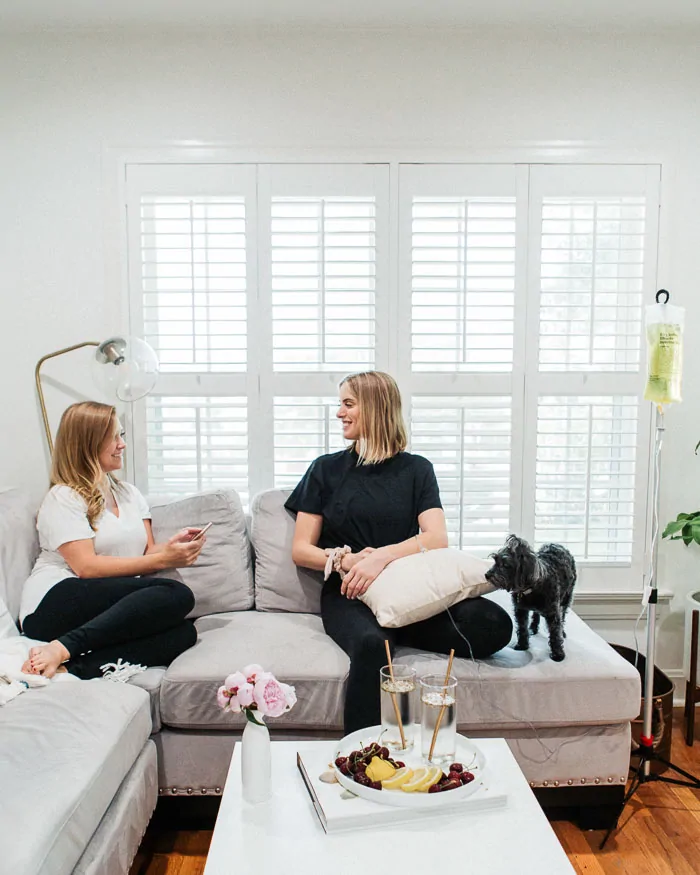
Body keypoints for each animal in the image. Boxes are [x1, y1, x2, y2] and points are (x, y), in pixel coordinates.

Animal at [484, 532, 576, 664]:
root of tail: (557, 545)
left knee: (563, 615)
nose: (487, 575)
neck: (531, 589)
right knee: (536, 614)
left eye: (505, 565)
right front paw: (522, 645)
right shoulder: (520, 609)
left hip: (566, 597)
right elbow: (522, 628)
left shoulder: (553, 612)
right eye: (495, 560)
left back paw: (562, 631)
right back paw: (533, 627)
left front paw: (558, 654)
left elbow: (555, 632)